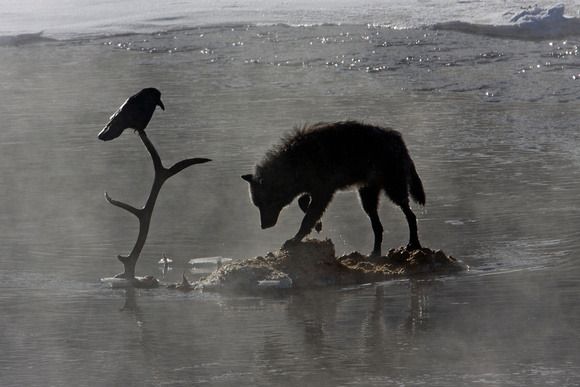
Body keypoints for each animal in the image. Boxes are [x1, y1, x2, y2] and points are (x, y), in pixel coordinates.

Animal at [240, 121, 426, 258]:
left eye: (263, 203)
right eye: (257, 205)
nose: (264, 226)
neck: (297, 162)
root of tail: (398, 139)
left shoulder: (324, 192)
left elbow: (306, 219)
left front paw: (295, 240)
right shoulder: (315, 190)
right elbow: (303, 203)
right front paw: (318, 225)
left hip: (394, 191)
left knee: (411, 216)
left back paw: (413, 245)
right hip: (367, 199)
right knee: (378, 227)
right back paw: (374, 253)